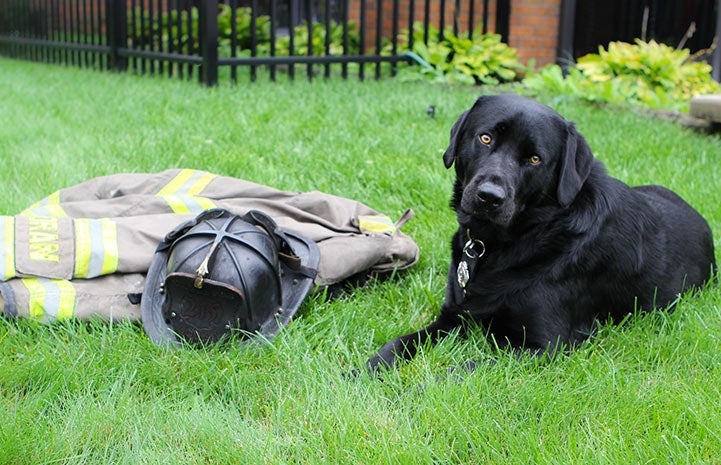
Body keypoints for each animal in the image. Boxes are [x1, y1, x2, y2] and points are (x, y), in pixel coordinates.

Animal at [366, 94, 716, 370]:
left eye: (535, 158)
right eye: (485, 138)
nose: (489, 197)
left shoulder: (543, 347)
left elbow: (458, 371)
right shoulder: (454, 316)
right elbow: (397, 344)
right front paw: (364, 372)